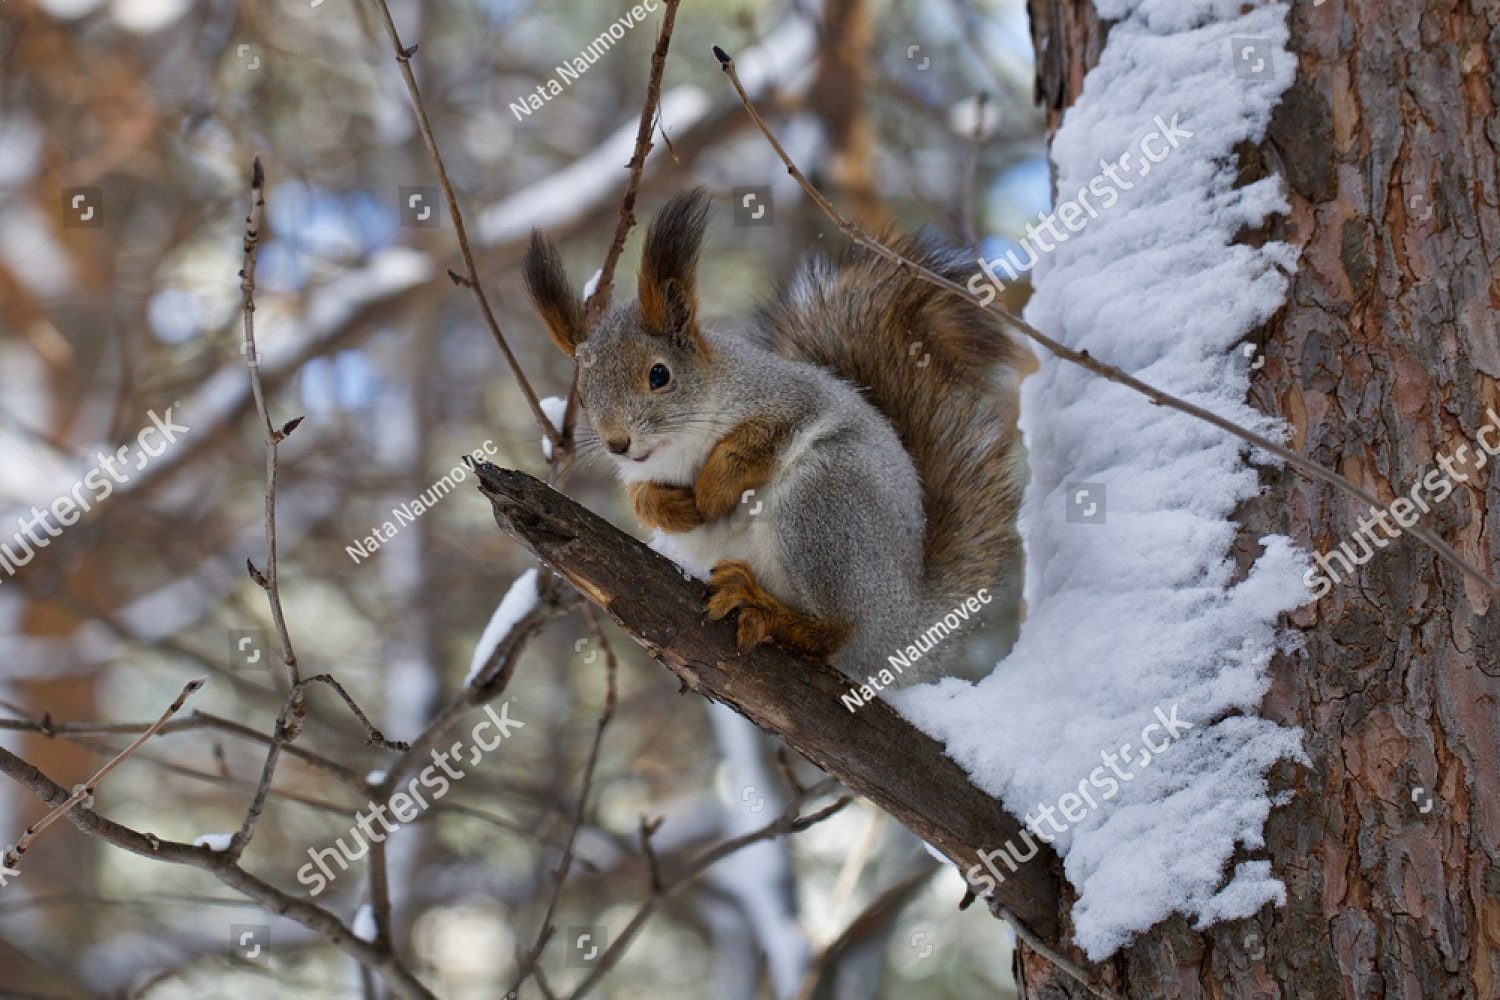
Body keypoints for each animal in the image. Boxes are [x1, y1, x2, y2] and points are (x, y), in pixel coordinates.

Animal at [522, 188, 1029, 686]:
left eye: (659, 375)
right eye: (583, 393)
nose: (617, 443)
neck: (678, 449)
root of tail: (905, 624)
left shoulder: (791, 398)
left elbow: (758, 439)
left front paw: (713, 490)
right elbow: (641, 497)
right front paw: (671, 507)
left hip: (824, 501)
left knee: (836, 632)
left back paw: (765, 610)